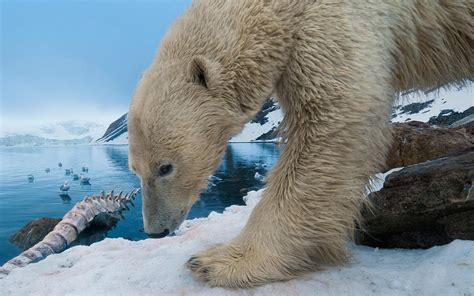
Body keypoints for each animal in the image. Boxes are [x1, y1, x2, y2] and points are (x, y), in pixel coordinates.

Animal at [127, 0, 474, 288]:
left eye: (165, 167)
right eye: (135, 170)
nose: (155, 230)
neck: (280, 7)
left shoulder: (337, 18)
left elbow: (333, 118)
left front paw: (219, 262)